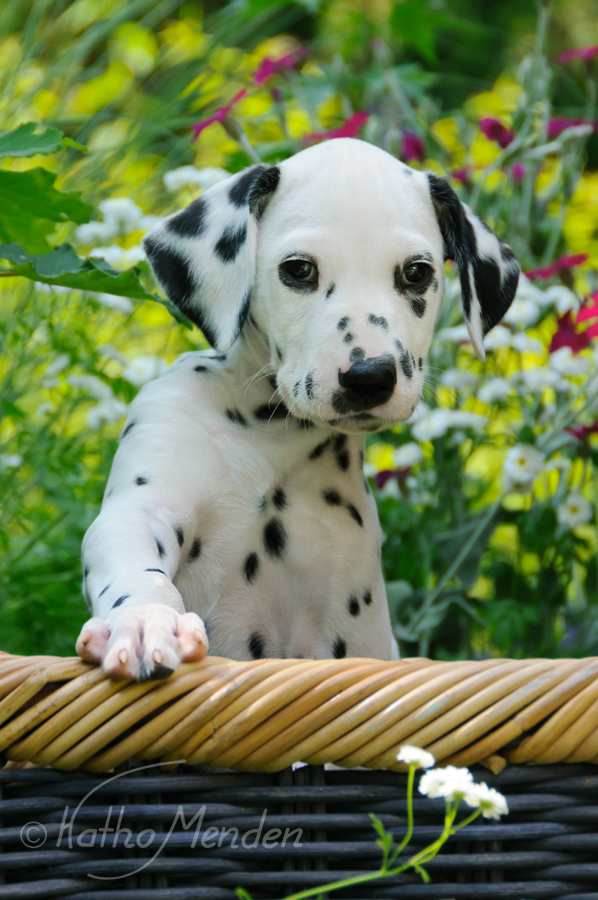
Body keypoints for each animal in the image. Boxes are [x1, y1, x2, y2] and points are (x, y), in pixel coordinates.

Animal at [78, 137, 520, 680]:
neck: (270, 438)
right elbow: (137, 565)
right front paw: (145, 622)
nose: (370, 376)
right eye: (299, 269)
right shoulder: (143, 504)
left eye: (417, 273)